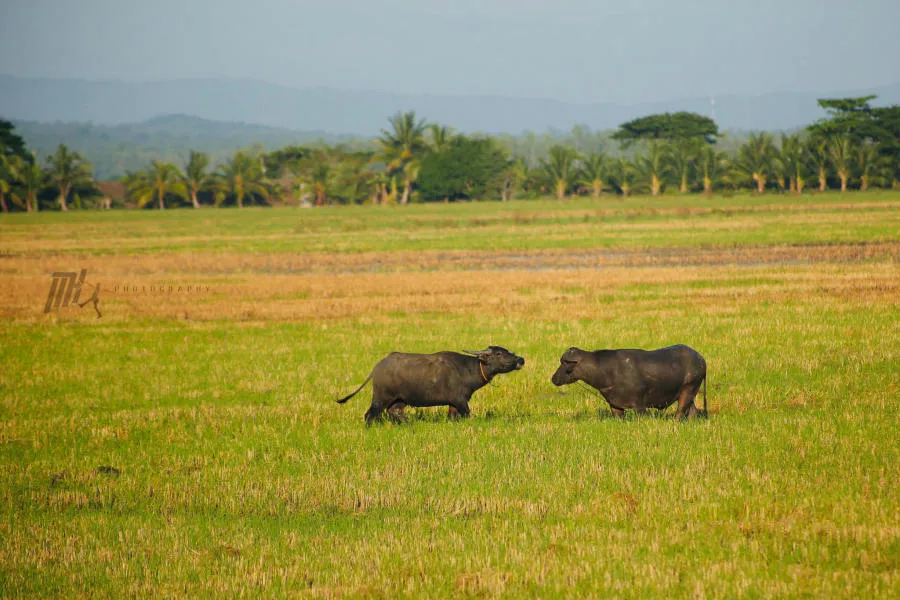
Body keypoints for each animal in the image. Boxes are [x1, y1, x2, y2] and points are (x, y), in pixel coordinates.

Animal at [334, 344, 524, 424]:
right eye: (498, 354)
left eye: (507, 351)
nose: (520, 360)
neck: (468, 369)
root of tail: (377, 367)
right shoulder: (461, 401)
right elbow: (468, 415)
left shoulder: (453, 403)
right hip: (381, 397)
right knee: (370, 415)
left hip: (400, 400)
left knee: (394, 412)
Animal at [548, 344, 712, 420]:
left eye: (565, 364)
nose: (553, 379)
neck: (607, 372)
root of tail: (701, 359)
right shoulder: (615, 406)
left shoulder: (639, 406)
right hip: (690, 393)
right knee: (692, 412)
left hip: (688, 389)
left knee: (680, 412)